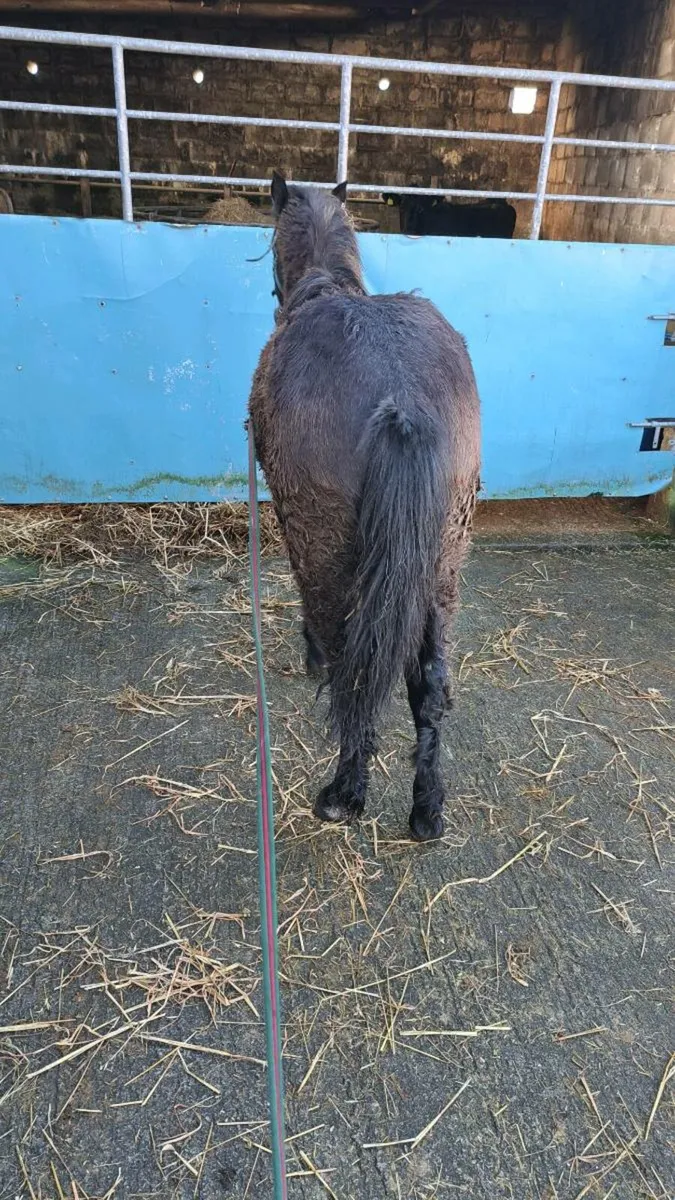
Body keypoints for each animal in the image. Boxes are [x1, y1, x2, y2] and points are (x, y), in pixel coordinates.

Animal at [248, 171, 480, 841]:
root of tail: (400, 396)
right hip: (441, 565)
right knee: (428, 683)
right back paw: (427, 809)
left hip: (329, 558)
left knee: (351, 665)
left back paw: (344, 792)